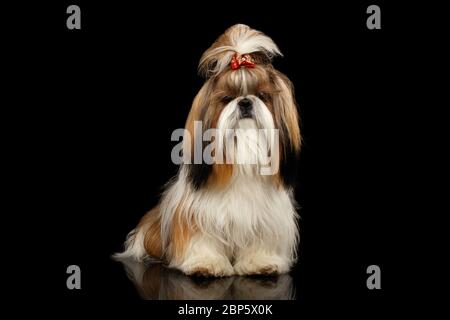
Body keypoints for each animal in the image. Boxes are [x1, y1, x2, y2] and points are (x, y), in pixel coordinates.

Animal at [116, 23, 300, 276]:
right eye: (227, 98)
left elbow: (260, 239)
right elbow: (202, 238)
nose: (245, 101)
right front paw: (206, 262)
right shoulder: (197, 213)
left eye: (262, 96)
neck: (242, 157)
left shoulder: (265, 218)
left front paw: (260, 262)